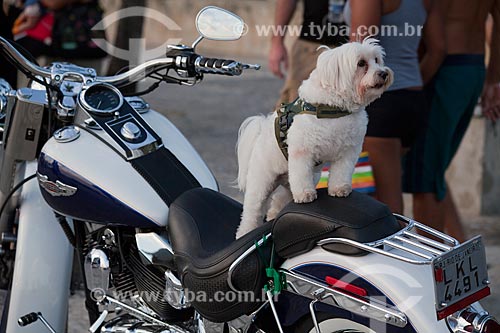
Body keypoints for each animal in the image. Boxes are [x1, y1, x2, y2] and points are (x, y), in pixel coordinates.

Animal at [236, 39, 392, 237]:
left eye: (377, 60)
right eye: (361, 63)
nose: (384, 73)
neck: (334, 109)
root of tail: (261, 130)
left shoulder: (348, 152)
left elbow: (341, 173)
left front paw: (339, 189)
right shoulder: (302, 153)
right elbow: (301, 175)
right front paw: (305, 195)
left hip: (299, 180)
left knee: (279, 200)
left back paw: (273, 215)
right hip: (261, 180)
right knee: (252, 210)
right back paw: (245, 231)